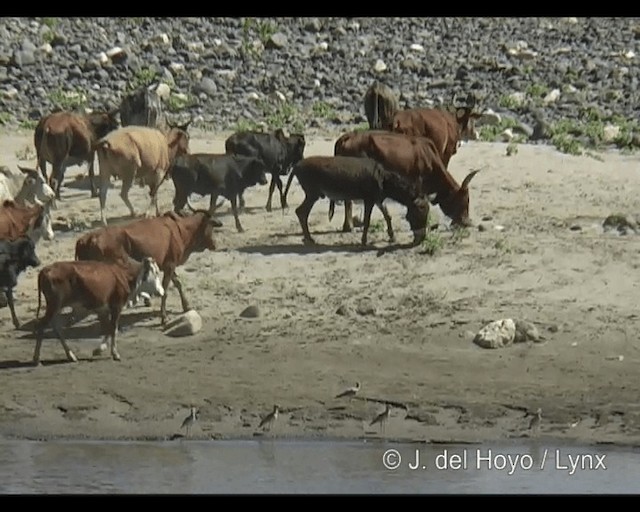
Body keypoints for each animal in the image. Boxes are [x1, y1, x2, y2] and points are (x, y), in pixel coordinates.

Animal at [32, 256, 165, 364]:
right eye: (156, 273)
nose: (162, 291)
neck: (124, 275)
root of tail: (46, 270)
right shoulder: (116, 306)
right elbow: (113, 329)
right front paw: (115, 354)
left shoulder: (103, 309)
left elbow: (108, 328)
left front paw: (99, 350)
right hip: (55, 305)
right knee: (42, 325)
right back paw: (36, 358)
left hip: (56, 307)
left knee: (56, 327)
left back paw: (71, 356)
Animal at [74, 208, 220, 324]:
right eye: (211, 227)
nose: (214, 244)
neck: (179, 228)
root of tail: (87, 239)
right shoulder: (170, 265)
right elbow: (166, 290)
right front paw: (164, 317)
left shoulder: (168, 266)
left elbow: (178, 284)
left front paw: (186, 306)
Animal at [284, 154, 430, 246]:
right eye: (421, 211)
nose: (422, 239)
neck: (383, 178)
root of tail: (296, 165)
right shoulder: (369, 200)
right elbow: (367, 221)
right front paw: (364, 241)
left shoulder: (378, 199)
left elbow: (387, 216)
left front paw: (392, 236)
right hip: (312, 194)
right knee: (301, 212)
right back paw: (309, 239)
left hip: (312, 194)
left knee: (301, 212)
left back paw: (307, 238)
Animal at [336, 130, 480, 230]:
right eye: (462, 200)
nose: (466, 222)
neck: (429, 158)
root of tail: (347, 137)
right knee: (348, 201)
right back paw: (348, 226)